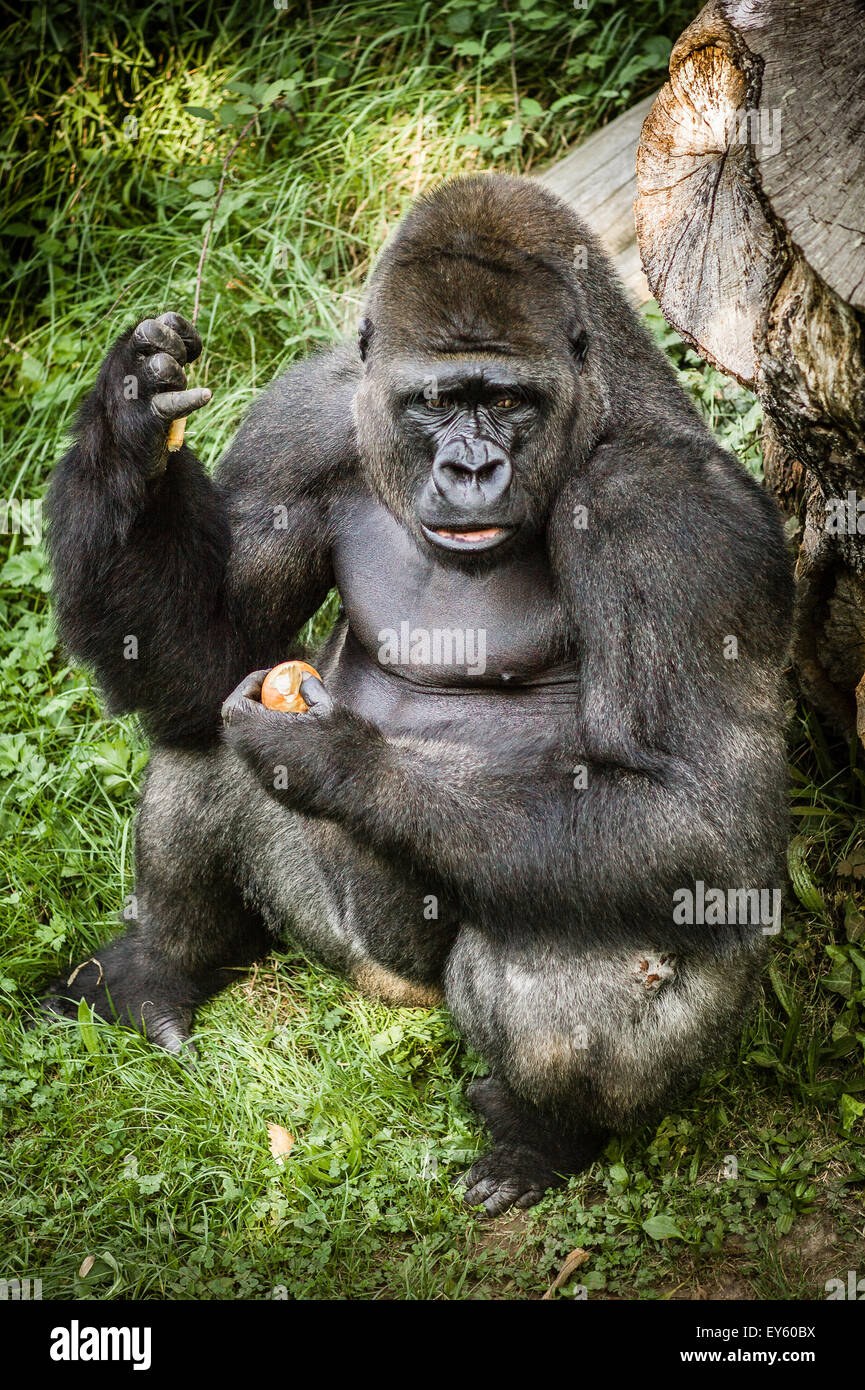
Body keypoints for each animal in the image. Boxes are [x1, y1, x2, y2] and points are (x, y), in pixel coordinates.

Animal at [41, 173, 794, 1215]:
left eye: (508, 401)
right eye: (435, 403)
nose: (470, 469)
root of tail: (393, 994)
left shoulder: (674, 517)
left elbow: (703, 821)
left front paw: (340, 760)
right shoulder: (306, 419)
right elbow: (210, 656)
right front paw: (127, 422)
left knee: (588, 940)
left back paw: (539, 1136)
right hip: (328, 933)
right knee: (199, 731)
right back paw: (159, 971)